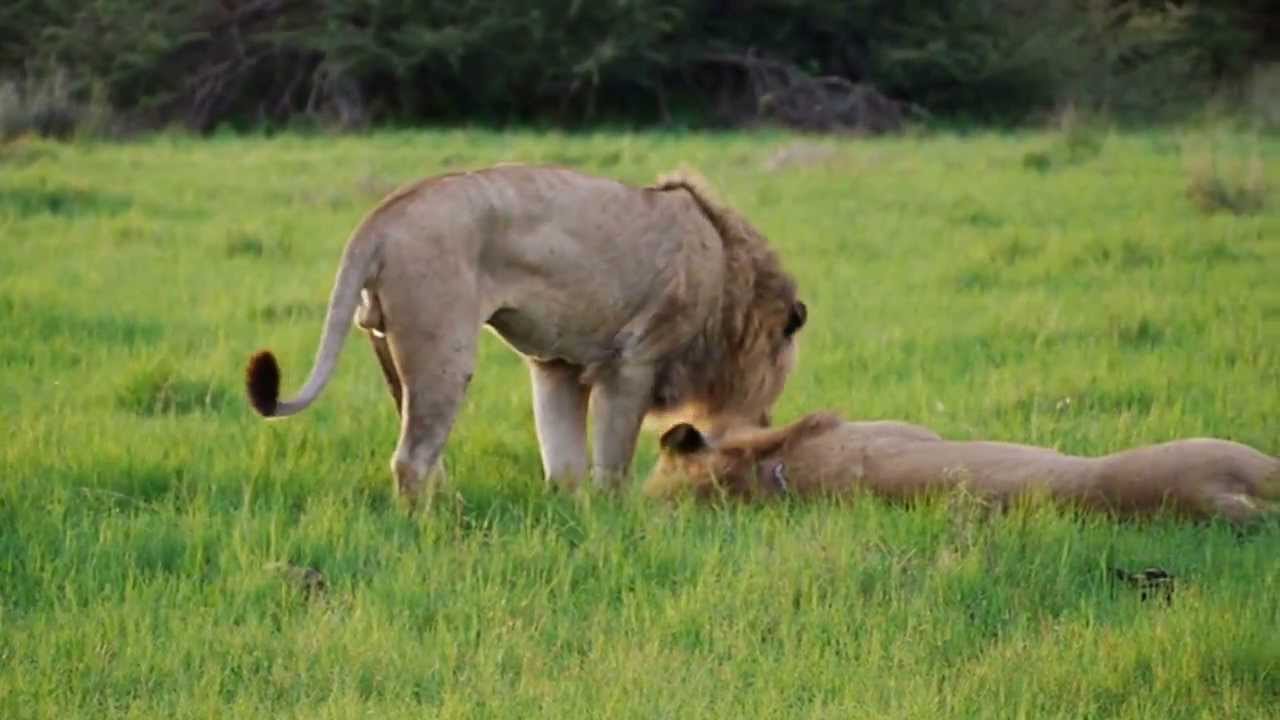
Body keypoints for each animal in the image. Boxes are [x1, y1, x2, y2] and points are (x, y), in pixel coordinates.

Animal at [244, 165, 806, 506]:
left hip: (389, 349)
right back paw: (434, 527)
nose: (765, 422)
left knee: (423, 448)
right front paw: (617, 513)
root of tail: (379, 217)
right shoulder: (634, 360)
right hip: (443, 347)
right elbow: (614, 461)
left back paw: (452, 507)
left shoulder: (557, 365)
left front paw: (574, 512)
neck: (725, 264)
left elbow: (564, 461)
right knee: (411, 459)